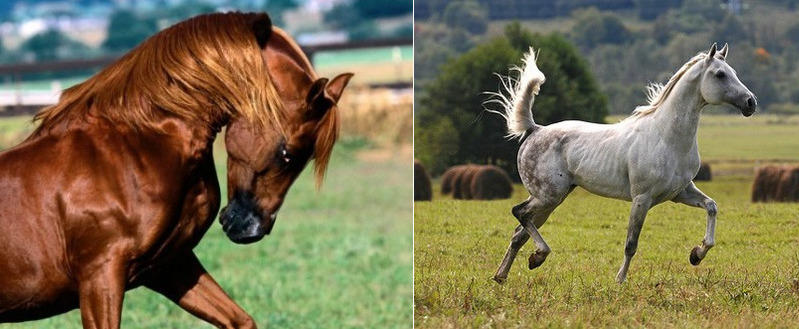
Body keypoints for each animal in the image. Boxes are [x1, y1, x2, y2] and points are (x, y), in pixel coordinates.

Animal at [0, 11, 354, 326]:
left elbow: (241, 321)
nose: (250, 228)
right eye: (286, 153)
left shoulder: (170, 266)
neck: (138, 145)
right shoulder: (100, 276)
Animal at [488, 43, 756, 284]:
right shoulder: (642, 198)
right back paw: (538, 257)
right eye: (720, 74)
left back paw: (505, 274)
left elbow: (712, 207)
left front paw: (696, 255)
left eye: (733, 71)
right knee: (519, 213)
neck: (667, 137)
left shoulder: (680, 192)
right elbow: (631, 244)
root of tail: (535, 129)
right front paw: (620, 280)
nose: (751, 103)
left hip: (552, 200)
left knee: (519, 233)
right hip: (548, 196)